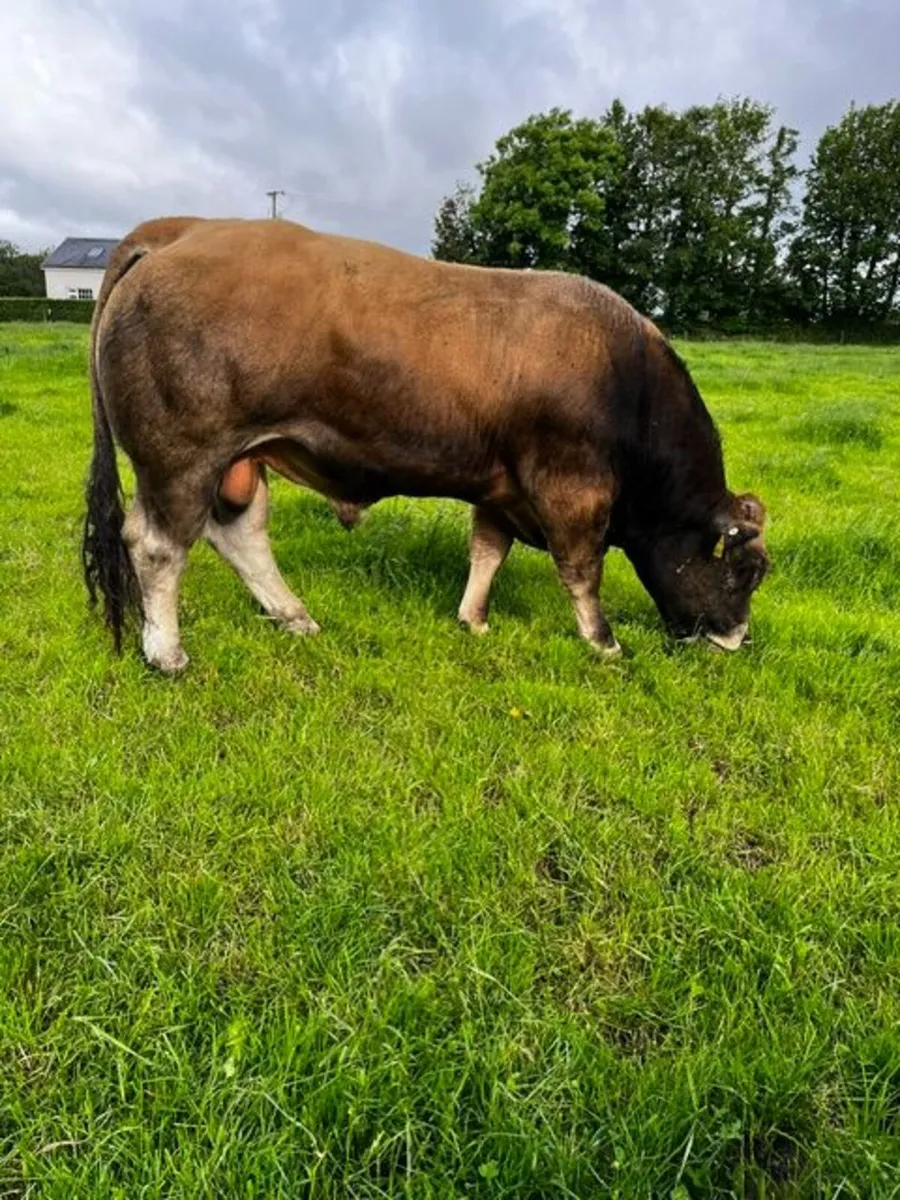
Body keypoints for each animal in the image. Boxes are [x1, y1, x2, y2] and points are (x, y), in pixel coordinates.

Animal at [81, 216, 769, 673]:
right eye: (746, 572)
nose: (737, 640)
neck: (625, 379)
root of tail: (183, 230)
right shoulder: (574, 490)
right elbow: (582, 570)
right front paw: (603, 642)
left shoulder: (501, 487)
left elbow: (487, 552)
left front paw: (474, 619)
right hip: (182, 455)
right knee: (158, 545)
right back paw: (166, 652)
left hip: (237, 460)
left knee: (240, 535)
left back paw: (295, 616)